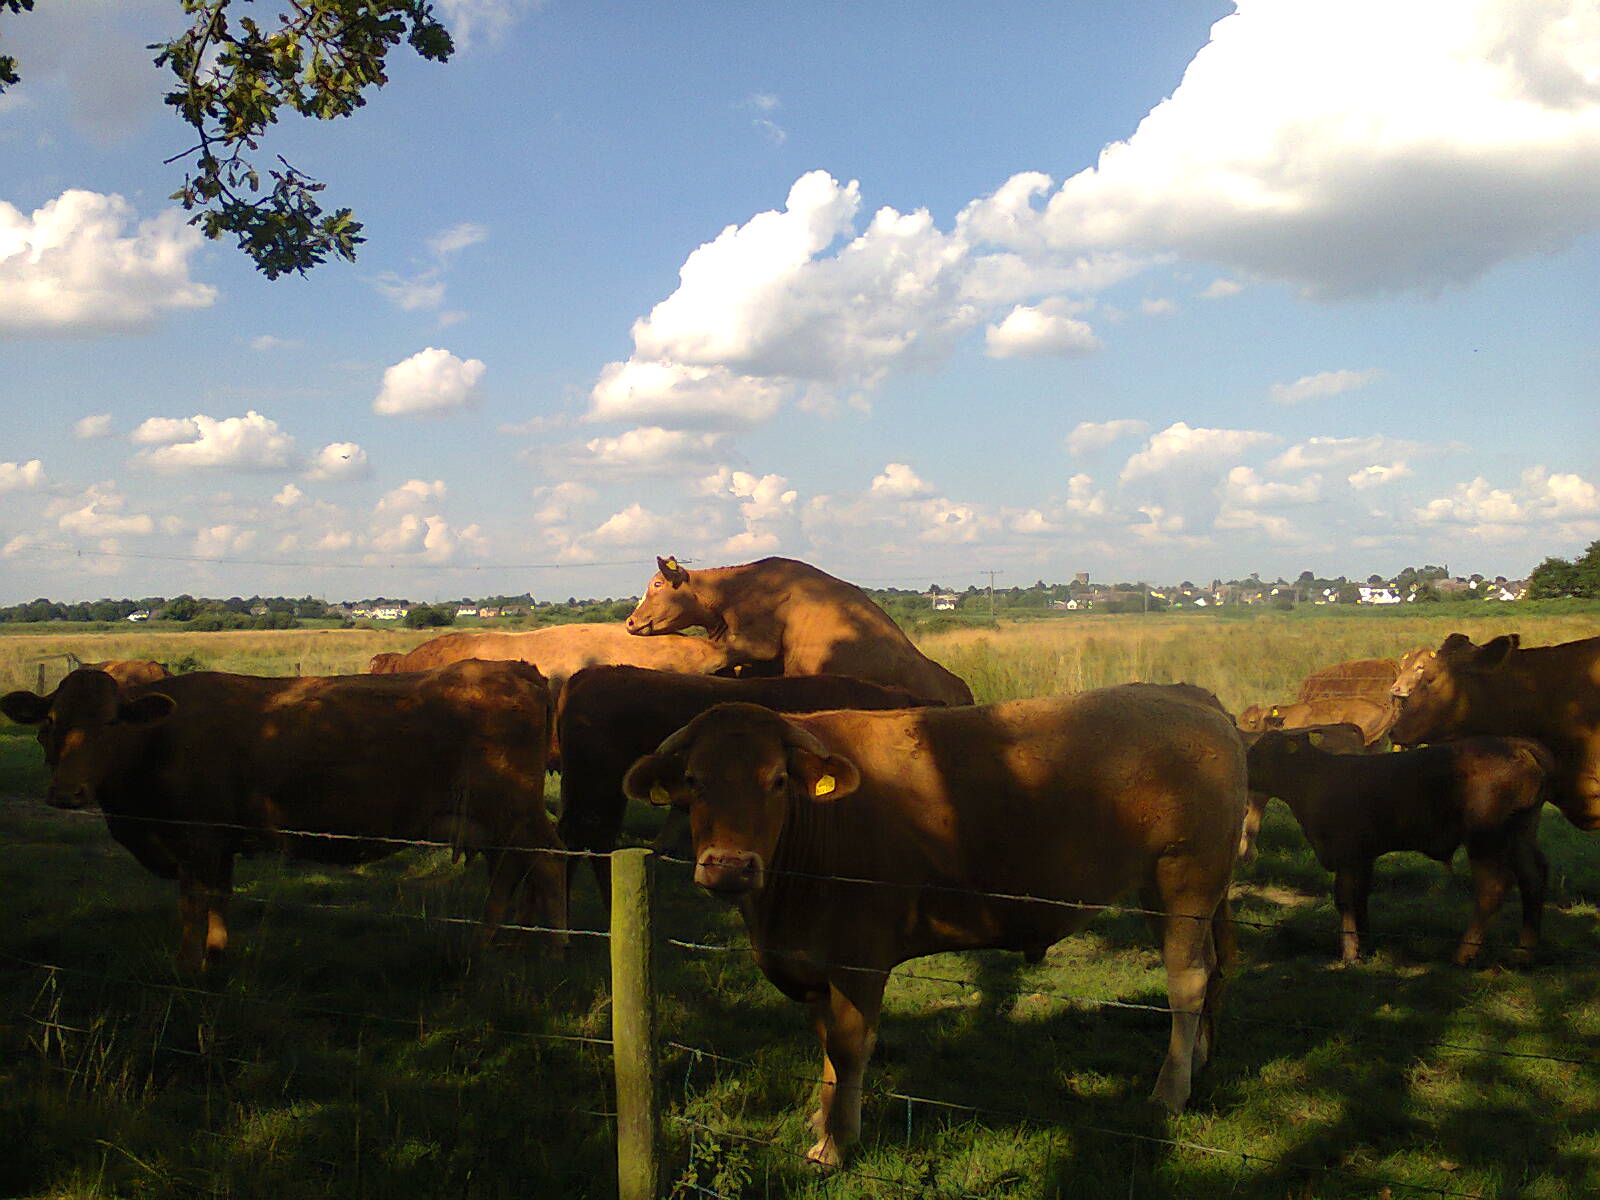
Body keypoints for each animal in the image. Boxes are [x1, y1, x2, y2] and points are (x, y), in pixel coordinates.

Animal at [0, 660, 565, 971]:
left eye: (112, 723)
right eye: (51, 722)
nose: (66, 793)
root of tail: (515, 669)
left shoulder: (197, 838)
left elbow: (193, 903)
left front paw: (185, 966)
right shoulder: (219, 844)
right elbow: (219, 899)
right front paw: (217, 955)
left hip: (516, 810)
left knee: (547, 862)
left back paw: (545, 948)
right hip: (495, 820)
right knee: (512, 871)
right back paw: (503, 941)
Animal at [622, 686, 1243, 1167]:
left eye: (776, 780)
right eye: (694, 781)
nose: (729, 865)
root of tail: (1191, 698)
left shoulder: (859, 957)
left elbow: (848, 1046)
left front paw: (836, 1145)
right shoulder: (814, 963)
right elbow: (825, 1044)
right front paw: (819, 1119)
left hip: (1186, 878)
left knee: (1187, 981)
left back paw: (1170, 1091)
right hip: (1172, 892)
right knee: (1212, 970)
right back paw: (1200, 1061)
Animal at [1245, 729, 1551, 964]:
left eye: (1258, 752)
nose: (1242, 768)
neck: (1313, 781)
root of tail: (1514, 744)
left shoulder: (1346, 852)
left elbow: (1345, 899)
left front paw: (1349, 953)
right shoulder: (1363, 857)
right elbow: (1361, 898)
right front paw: (1365, 946)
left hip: (1484, 837)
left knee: (1492, 888)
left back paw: (1463, 955)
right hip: (1521, 832)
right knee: (1532, 881)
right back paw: (1525, 954)